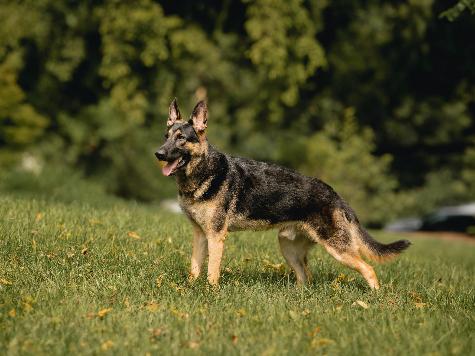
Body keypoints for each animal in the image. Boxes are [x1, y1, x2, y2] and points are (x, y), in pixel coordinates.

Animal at [155, 98, 410, 290]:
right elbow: (195, 267)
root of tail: (336, 195)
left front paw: (210, 292)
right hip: (288, 248)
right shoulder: (200, 235)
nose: (158, 154)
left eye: (181, 138)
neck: (202, 173)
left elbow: (211, 271)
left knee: (369, 268)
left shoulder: (216, 237)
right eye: (166, 137)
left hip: (338, 250)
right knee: (306, 278)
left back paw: (375, 298)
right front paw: (190, 288)